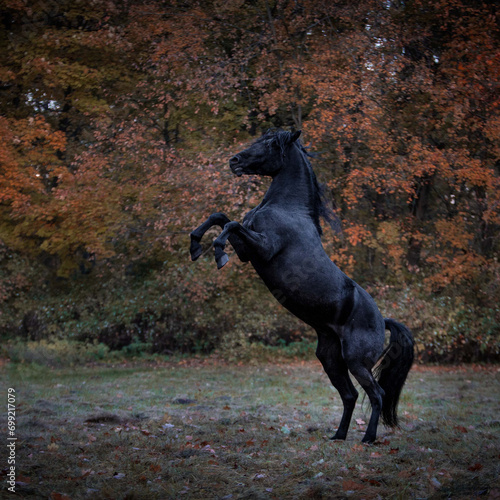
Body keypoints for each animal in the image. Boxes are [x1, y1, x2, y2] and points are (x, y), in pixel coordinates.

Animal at [189, 131, 412, 444]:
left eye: (271, 144)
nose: (235, 160)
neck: (286, 208)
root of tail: (384, 320)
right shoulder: (248, 251)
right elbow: (220, 216)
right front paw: (195, 245)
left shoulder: (263, 248)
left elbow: (230, 224)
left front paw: (218, 253)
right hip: (330, 359)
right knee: (350, 395)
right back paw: (338, 436)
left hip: (356, 362)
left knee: (376, 394)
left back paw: (367, 439)